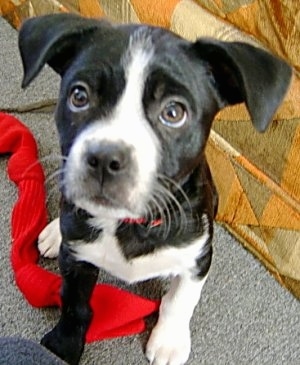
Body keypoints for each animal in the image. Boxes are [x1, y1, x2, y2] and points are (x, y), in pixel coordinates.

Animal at [18, 12, 290, 364]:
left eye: (173, 112)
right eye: (79, 96)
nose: (104, 158)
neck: (129, 223)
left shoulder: (198, 254)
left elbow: (180, 301)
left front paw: (169, 341)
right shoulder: (76, 258)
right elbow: (74, 304)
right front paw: (63, 345)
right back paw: (55, 231)